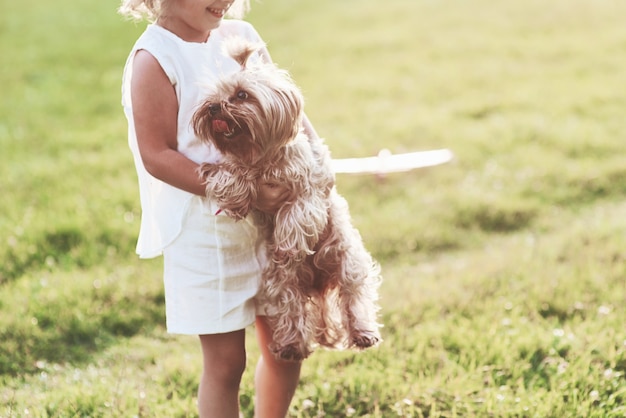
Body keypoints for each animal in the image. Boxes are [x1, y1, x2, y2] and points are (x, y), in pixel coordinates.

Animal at [191, 37, 380, 360]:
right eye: (214, 95)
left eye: (241, 95)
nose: (214, 107)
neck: (261, 156)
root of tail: (318, 284)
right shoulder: (239, 167)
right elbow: (232, 176)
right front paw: (236, 196)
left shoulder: (310, 187)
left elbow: (297, 213)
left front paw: (289, 243)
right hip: (282, 281)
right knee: (292, 309)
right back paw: (291, 345)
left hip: (347, 261)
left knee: (354, 296)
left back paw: (363, 333)